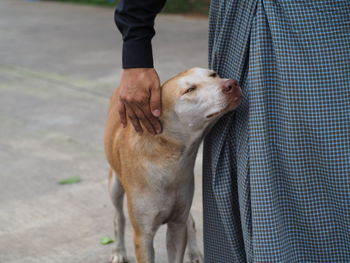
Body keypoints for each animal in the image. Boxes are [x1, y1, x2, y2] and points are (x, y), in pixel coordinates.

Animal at [103, 68, 241, 263]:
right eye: (189, 90)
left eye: (214, 74)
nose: (232, 84)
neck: (170, 160)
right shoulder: (143, 236)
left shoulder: (177, 224)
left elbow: (183, 229)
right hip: (114, 185)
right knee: (118, 217)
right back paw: (119, 251)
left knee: (189, 221)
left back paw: (194, 252)